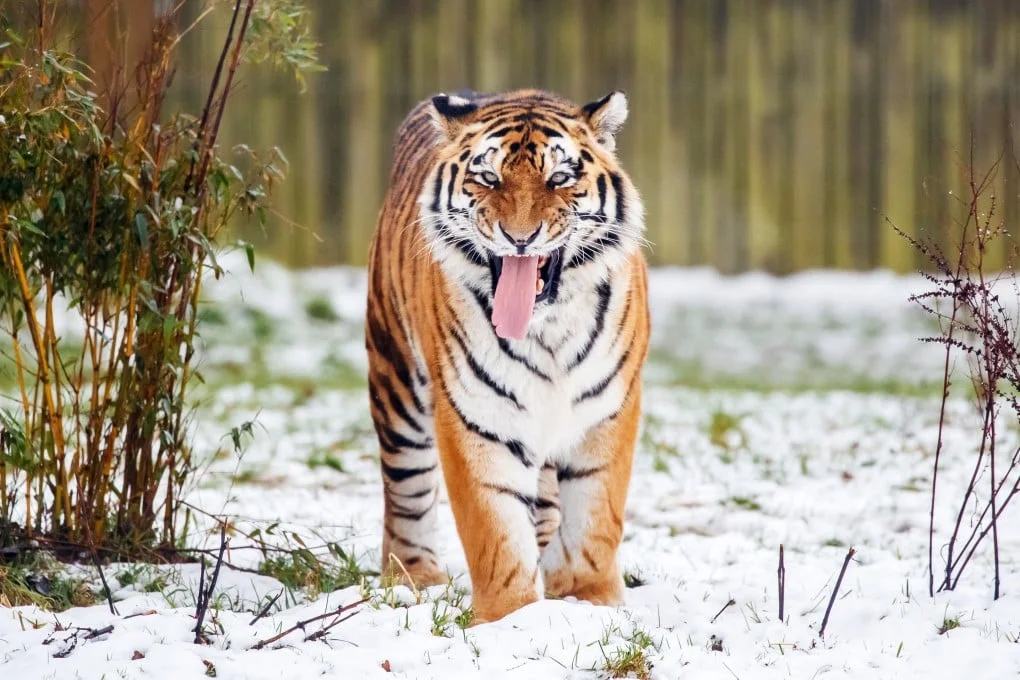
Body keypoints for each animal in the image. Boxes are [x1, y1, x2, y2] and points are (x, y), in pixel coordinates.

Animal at [365, 88, 649, 624]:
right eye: (488, 178)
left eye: (559, 178)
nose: (520, 237)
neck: (547, 328)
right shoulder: (476, 415)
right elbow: (495, 529)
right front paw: (511, 619)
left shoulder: (608, 410)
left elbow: (596, 516)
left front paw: (589, 598)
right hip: (397, 381)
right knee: (406, 489)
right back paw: (414, 577)